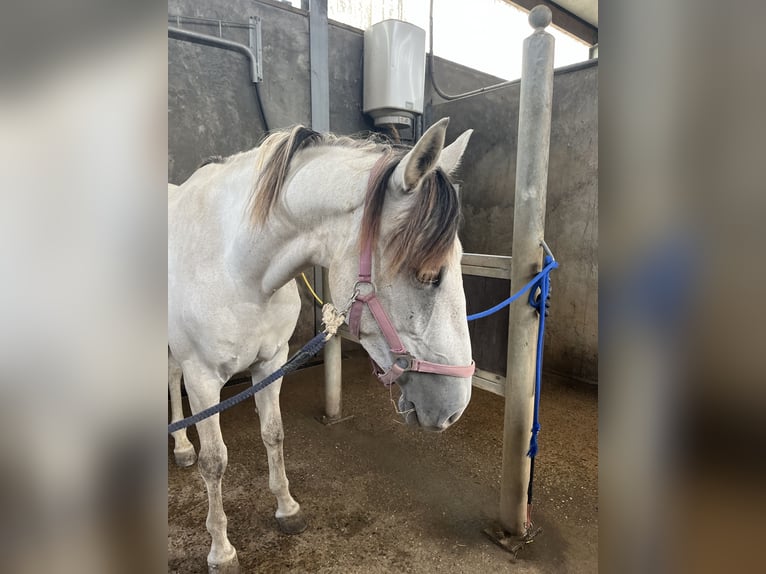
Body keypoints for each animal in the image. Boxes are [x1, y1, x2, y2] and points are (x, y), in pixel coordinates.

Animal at [168, 117, 474, 572]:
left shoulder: (270, 362)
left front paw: (287, 508)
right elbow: (215, 461)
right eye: (428, 275)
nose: (455, 410)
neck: (234, 265)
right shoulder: (203, 378)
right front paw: (221, 550)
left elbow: (273, 434)